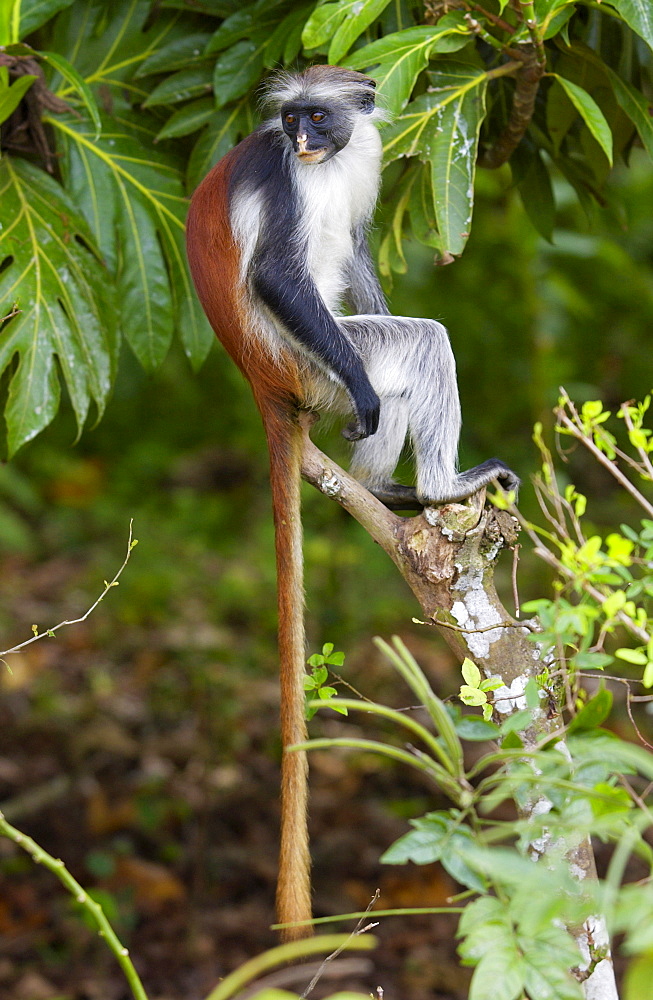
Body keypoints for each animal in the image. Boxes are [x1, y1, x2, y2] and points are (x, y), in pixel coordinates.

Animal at [185, 64, 520, 936]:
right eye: (292, 120)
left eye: (318, 118)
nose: (302, 138)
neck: (319, 164)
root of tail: (263, 384)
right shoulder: (281, 182)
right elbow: (277, 273)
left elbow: (362, 246)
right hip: (314, 359)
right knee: (418, 342)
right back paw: (438, 485)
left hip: (319, 361)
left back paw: (389, 491)